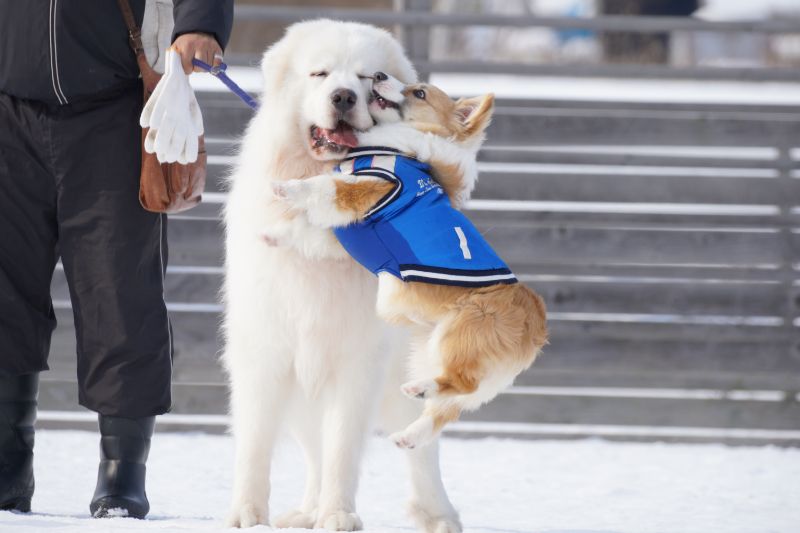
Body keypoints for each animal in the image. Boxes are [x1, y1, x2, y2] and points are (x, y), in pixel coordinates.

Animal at [222, 18, 462, 528]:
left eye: (369, 78)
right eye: (320, 74)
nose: (345, 97)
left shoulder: (357, 363)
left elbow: (343, 449)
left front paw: (338, 516)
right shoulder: (265, 352)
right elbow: (255, 442)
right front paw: (247, 514)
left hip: (405, 377)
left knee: (420, 448)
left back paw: (439, 515)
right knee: (312, 447)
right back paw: (305, 512)